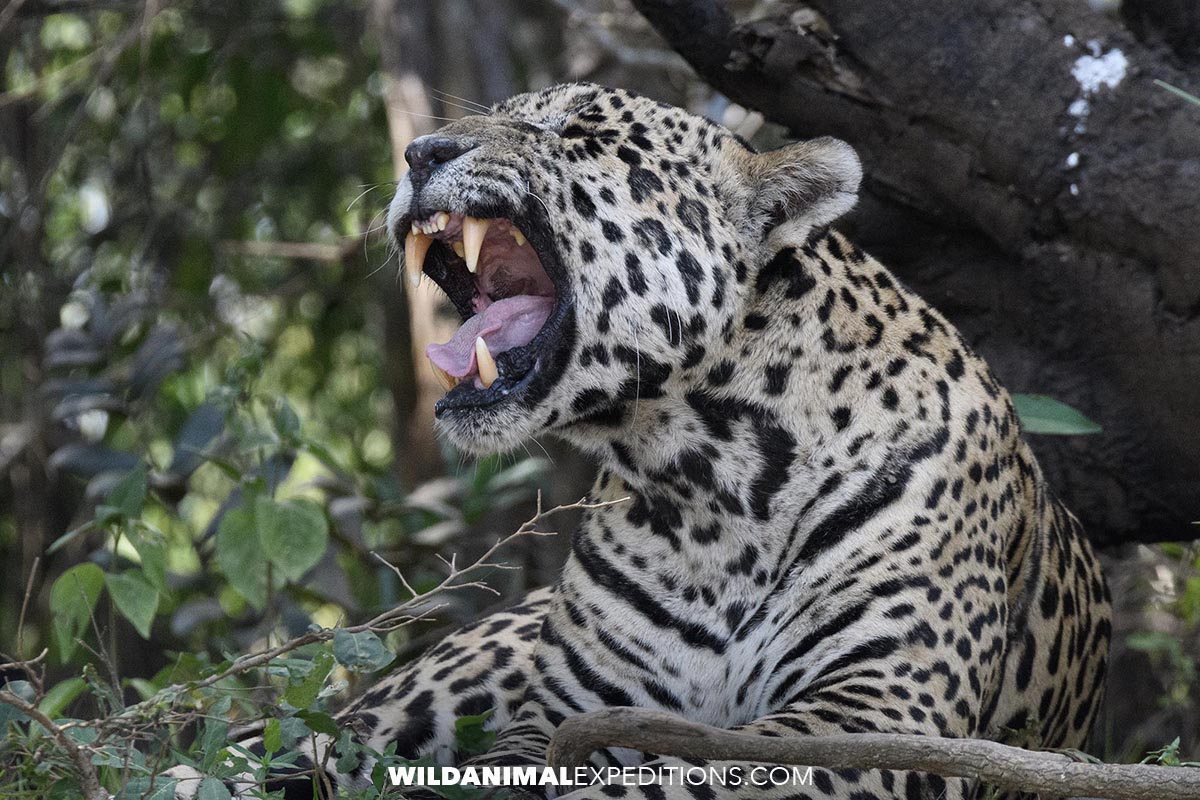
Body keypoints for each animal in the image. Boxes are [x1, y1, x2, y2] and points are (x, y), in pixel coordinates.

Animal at [171, 82, 1111, 799]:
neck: (712, 480)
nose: (419, 153)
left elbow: (676, 779)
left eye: (578, 131)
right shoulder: (565, 711)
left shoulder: (875, 716)